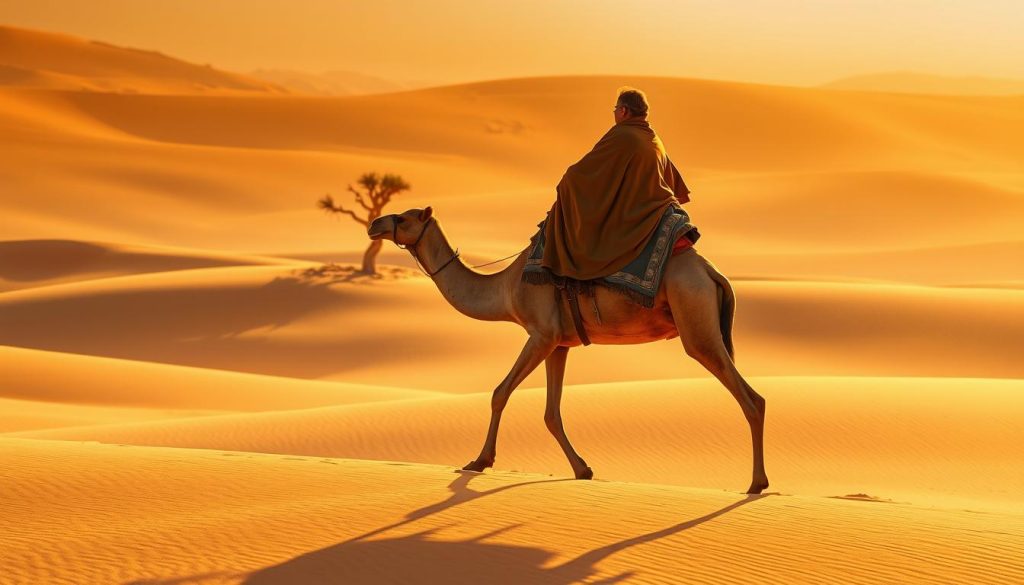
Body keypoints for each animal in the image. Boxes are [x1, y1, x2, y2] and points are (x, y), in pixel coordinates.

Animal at [367, 206, 769, 494]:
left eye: (403, 218)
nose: (374, 223)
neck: (505, 288)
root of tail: (712, 272)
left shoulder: (540, 334)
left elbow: (500, 393)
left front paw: (478, 461)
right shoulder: (560, 343)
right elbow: (551, 412)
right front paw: (583, 469)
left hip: (696, 323)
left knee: (752, 399)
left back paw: (756, 483)